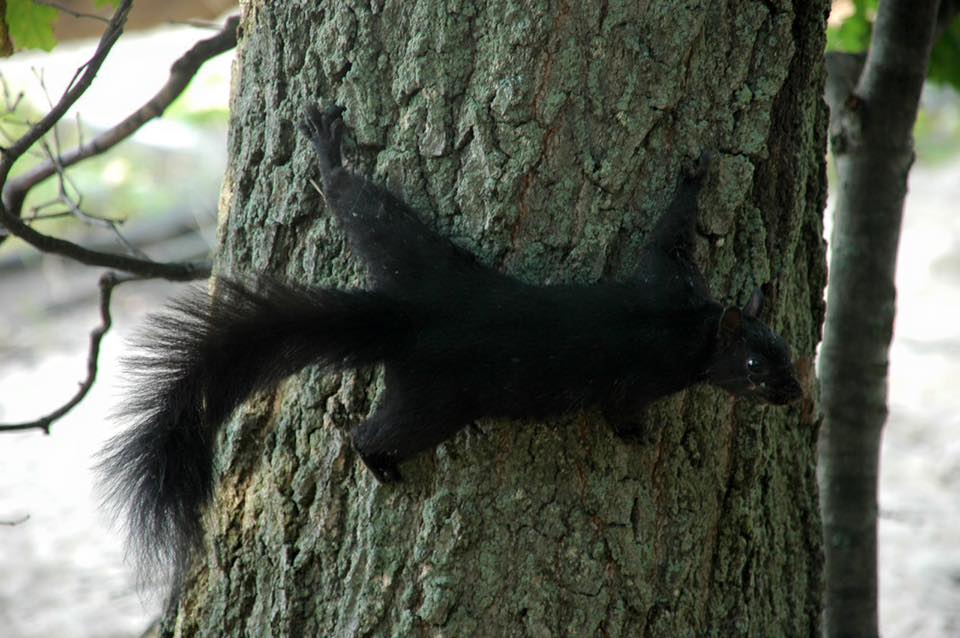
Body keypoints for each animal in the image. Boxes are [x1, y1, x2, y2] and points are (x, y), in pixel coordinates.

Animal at [98, 104, 803, 583]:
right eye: (752, 364)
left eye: (788, 351)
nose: (794, 395)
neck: (691, 328)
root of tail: (411, 316)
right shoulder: (648, 357)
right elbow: (622, 403)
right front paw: (638, 437)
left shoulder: (670, 279)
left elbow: (667, 233)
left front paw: (696, 173)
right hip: (435, 401)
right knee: (371, 433)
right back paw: (379, 462)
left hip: (406, 248)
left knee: (356, 202)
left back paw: (328, 151)